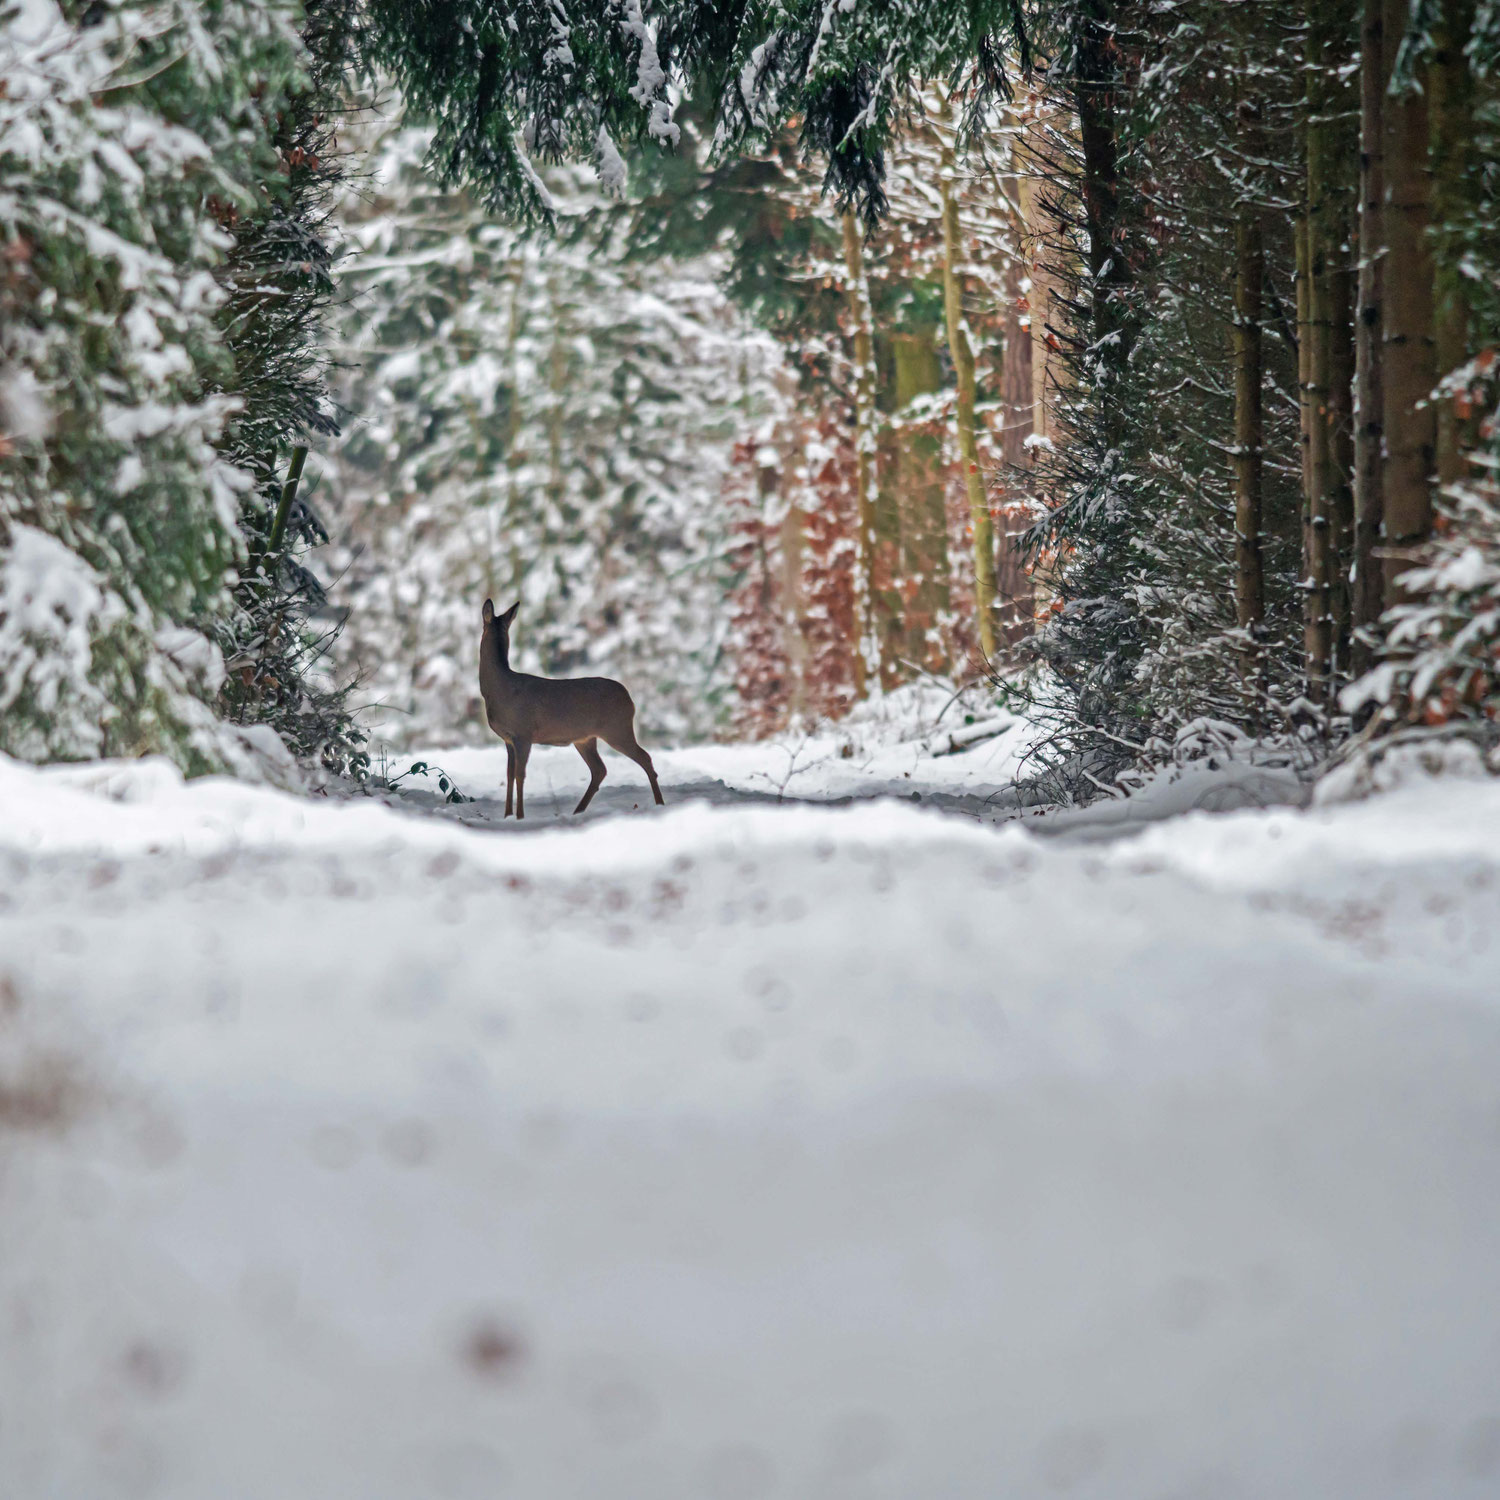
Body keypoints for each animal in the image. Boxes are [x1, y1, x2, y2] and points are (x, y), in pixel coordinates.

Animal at [477, 597, 666, 822]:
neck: (500, 690)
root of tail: (630, 700)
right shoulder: (508, 739)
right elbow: (509, 775)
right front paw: (507, 816)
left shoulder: (523, 733)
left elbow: (520, 775)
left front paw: (520, 817)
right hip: (586, 738)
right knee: (599, 769)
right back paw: (578, 811)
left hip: (617, 728)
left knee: (644, 758)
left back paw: (660, 803)